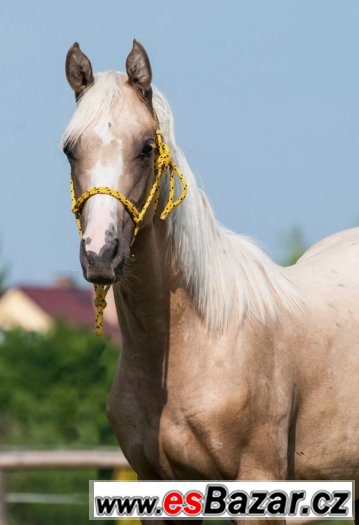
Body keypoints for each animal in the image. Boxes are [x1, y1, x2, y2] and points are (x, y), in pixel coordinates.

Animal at [63, 39, 358, 520]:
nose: (100, 254)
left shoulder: (259, 482)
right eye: (71, 150)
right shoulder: (159, 486)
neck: (199, 338)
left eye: (146, 147)